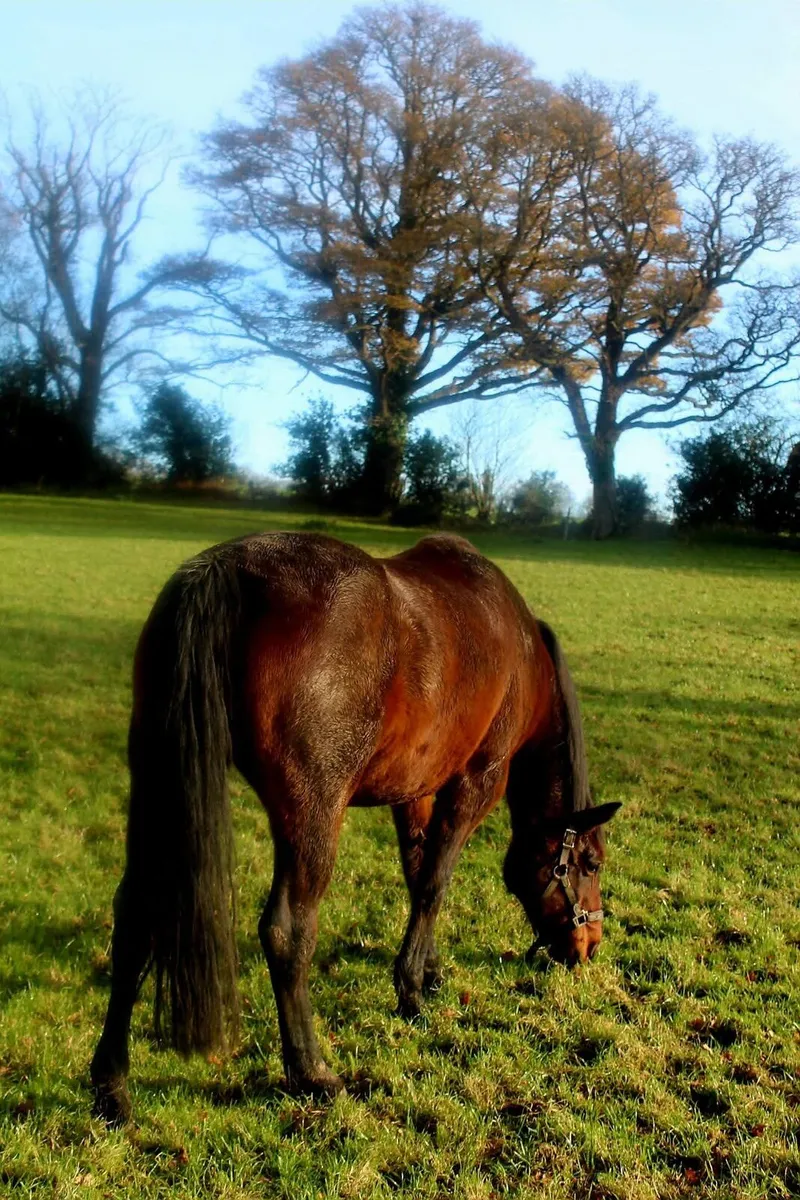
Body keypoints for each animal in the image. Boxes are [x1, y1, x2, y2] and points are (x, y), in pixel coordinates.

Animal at [90, 531, 620, 1124]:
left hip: (159, 785)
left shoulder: (415, 792)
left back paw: (112, 1084)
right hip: (314, 813)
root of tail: (225, 569)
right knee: (286, 931)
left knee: (136, 916)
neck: (524, 659)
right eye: (590, 862)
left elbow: (417, 876)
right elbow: (435, 884)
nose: (590, 944)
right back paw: (312, 1072)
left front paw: (428, 969)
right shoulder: (475, 782)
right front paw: (411, 990)